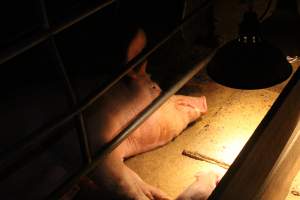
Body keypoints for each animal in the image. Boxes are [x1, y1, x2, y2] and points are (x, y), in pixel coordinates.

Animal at [83, 28, 219, 199]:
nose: (203, 99)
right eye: (155, 87)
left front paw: (159, 194)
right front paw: (155, 196)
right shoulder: (97, 150)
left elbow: (134, 178)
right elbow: (125, 183)